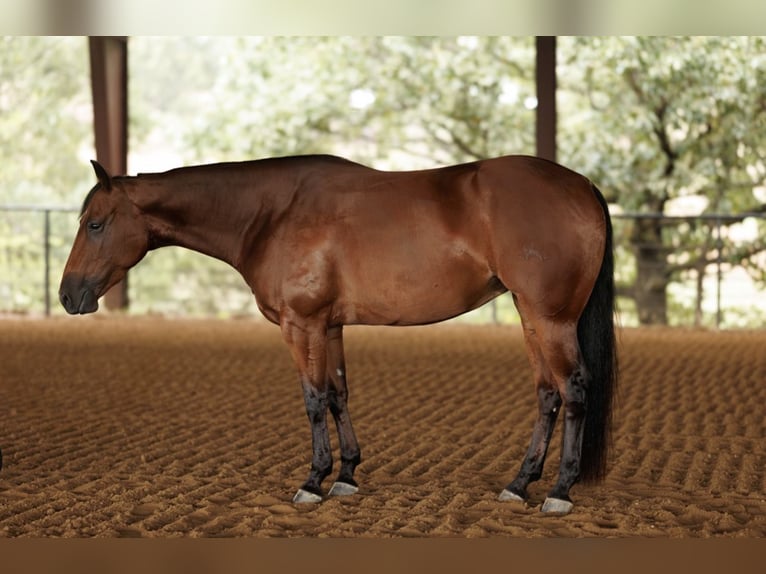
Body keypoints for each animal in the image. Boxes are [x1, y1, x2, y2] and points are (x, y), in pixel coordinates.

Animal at [59, 154, 617, 515]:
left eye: (95, 224)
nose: (68, 296)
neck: (273, 214)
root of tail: (582, 185)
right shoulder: (328, 326)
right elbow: (338, 394)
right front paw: (346, 476)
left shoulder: (300, 324)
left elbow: (312, 399)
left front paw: (312, 481)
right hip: (530, 316)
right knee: (547, 394)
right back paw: (519, 484)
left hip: (550, 318)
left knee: (572, 391)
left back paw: (559, 492)